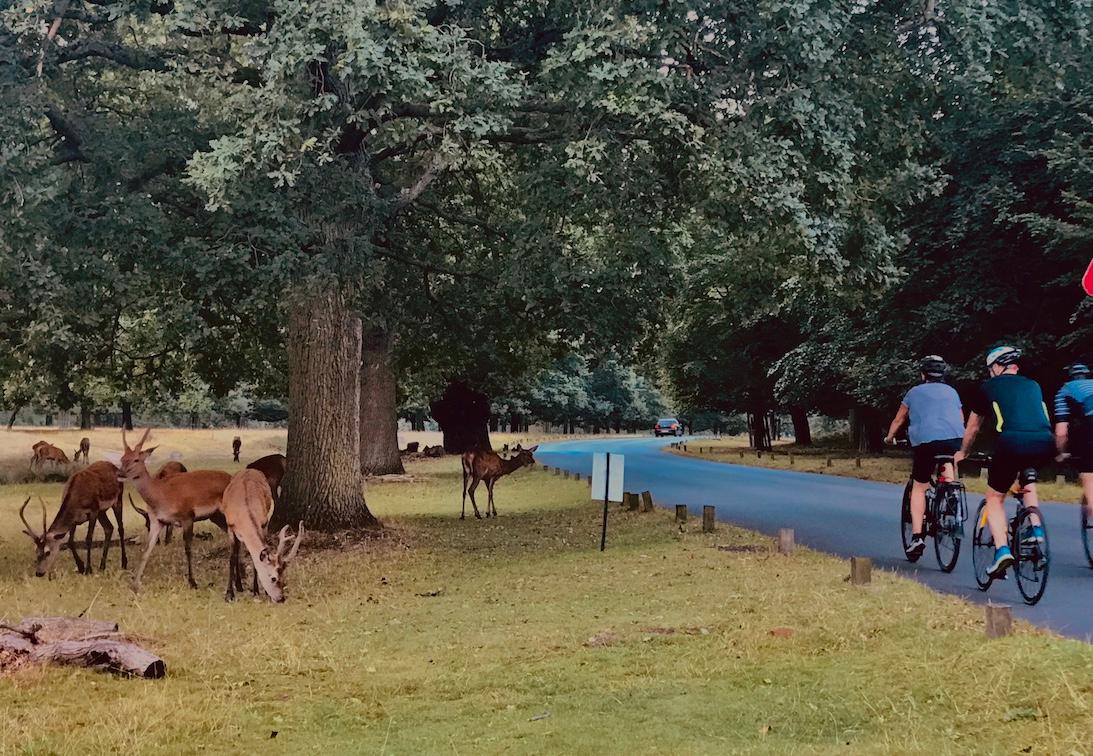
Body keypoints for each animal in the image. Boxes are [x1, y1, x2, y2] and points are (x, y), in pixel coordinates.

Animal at [117, 428, 232, 594]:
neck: (161, 496)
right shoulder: (157, 521)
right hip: (216, 516)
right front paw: (135, 584)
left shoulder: (187, 516)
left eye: (136, 459)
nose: (120, 474)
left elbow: (188, 548)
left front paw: (193, 582)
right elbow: (146, 550)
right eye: (122, 458)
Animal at [219, 469, 303, 607]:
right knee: (237, 552)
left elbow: (255, 561)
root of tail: (249, 469)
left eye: (284, 575)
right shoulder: (230, 526)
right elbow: (231, 559)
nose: (281, 599)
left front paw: (257, 591)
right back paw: (238, 585)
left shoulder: (264, 524)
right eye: (273, 578)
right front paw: (229, 595)